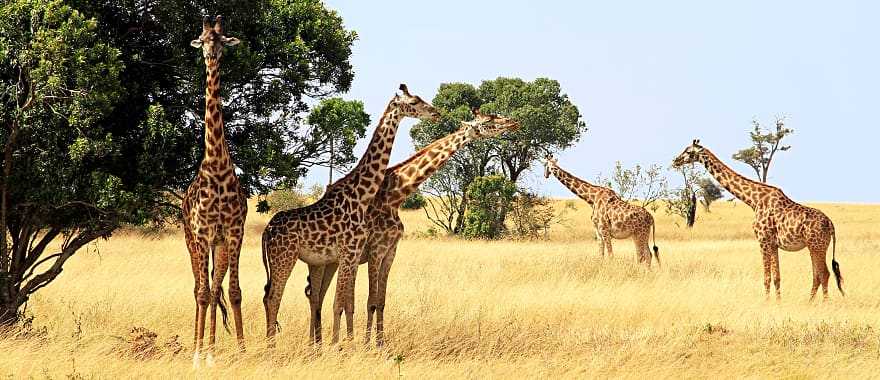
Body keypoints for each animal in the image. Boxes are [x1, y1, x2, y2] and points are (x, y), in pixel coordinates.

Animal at [262, 84, 440, 346]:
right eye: (414, 102)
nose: (436, 113)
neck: (361, 196)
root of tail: (267, 231)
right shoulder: (350, 252)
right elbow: (341, 303)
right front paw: (340, 346)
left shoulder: (353, 255)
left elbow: (347, 303)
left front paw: (346, 344)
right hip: (285, 257)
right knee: (274, 297)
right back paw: (272, 347)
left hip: (302, 261)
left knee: (283, 296)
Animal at [302, 108, 520, 346]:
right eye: (489, 120)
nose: (513, 122)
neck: (395, 196)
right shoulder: (376, 249)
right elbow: (370, 301)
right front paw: (368, 344)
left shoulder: (391, 251)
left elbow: (380, 301)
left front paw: (380, 344)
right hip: (323, 260)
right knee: (315, 297)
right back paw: (316, 344)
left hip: (332, 261)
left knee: (319, 296)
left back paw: (319, 343)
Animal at [672, 140, 844, 300]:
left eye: (688, 151)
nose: (675, 161)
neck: (754, 200)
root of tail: (831, 224)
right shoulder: (773, 244)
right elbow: (777, 277)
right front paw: (778, 302)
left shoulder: (763, 240)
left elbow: (766, 278)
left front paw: (767, 303)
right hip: (814, 246)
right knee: (817, 275)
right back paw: (810, 302)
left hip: (817, 246)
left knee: (824, 274)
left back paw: (823, 303)